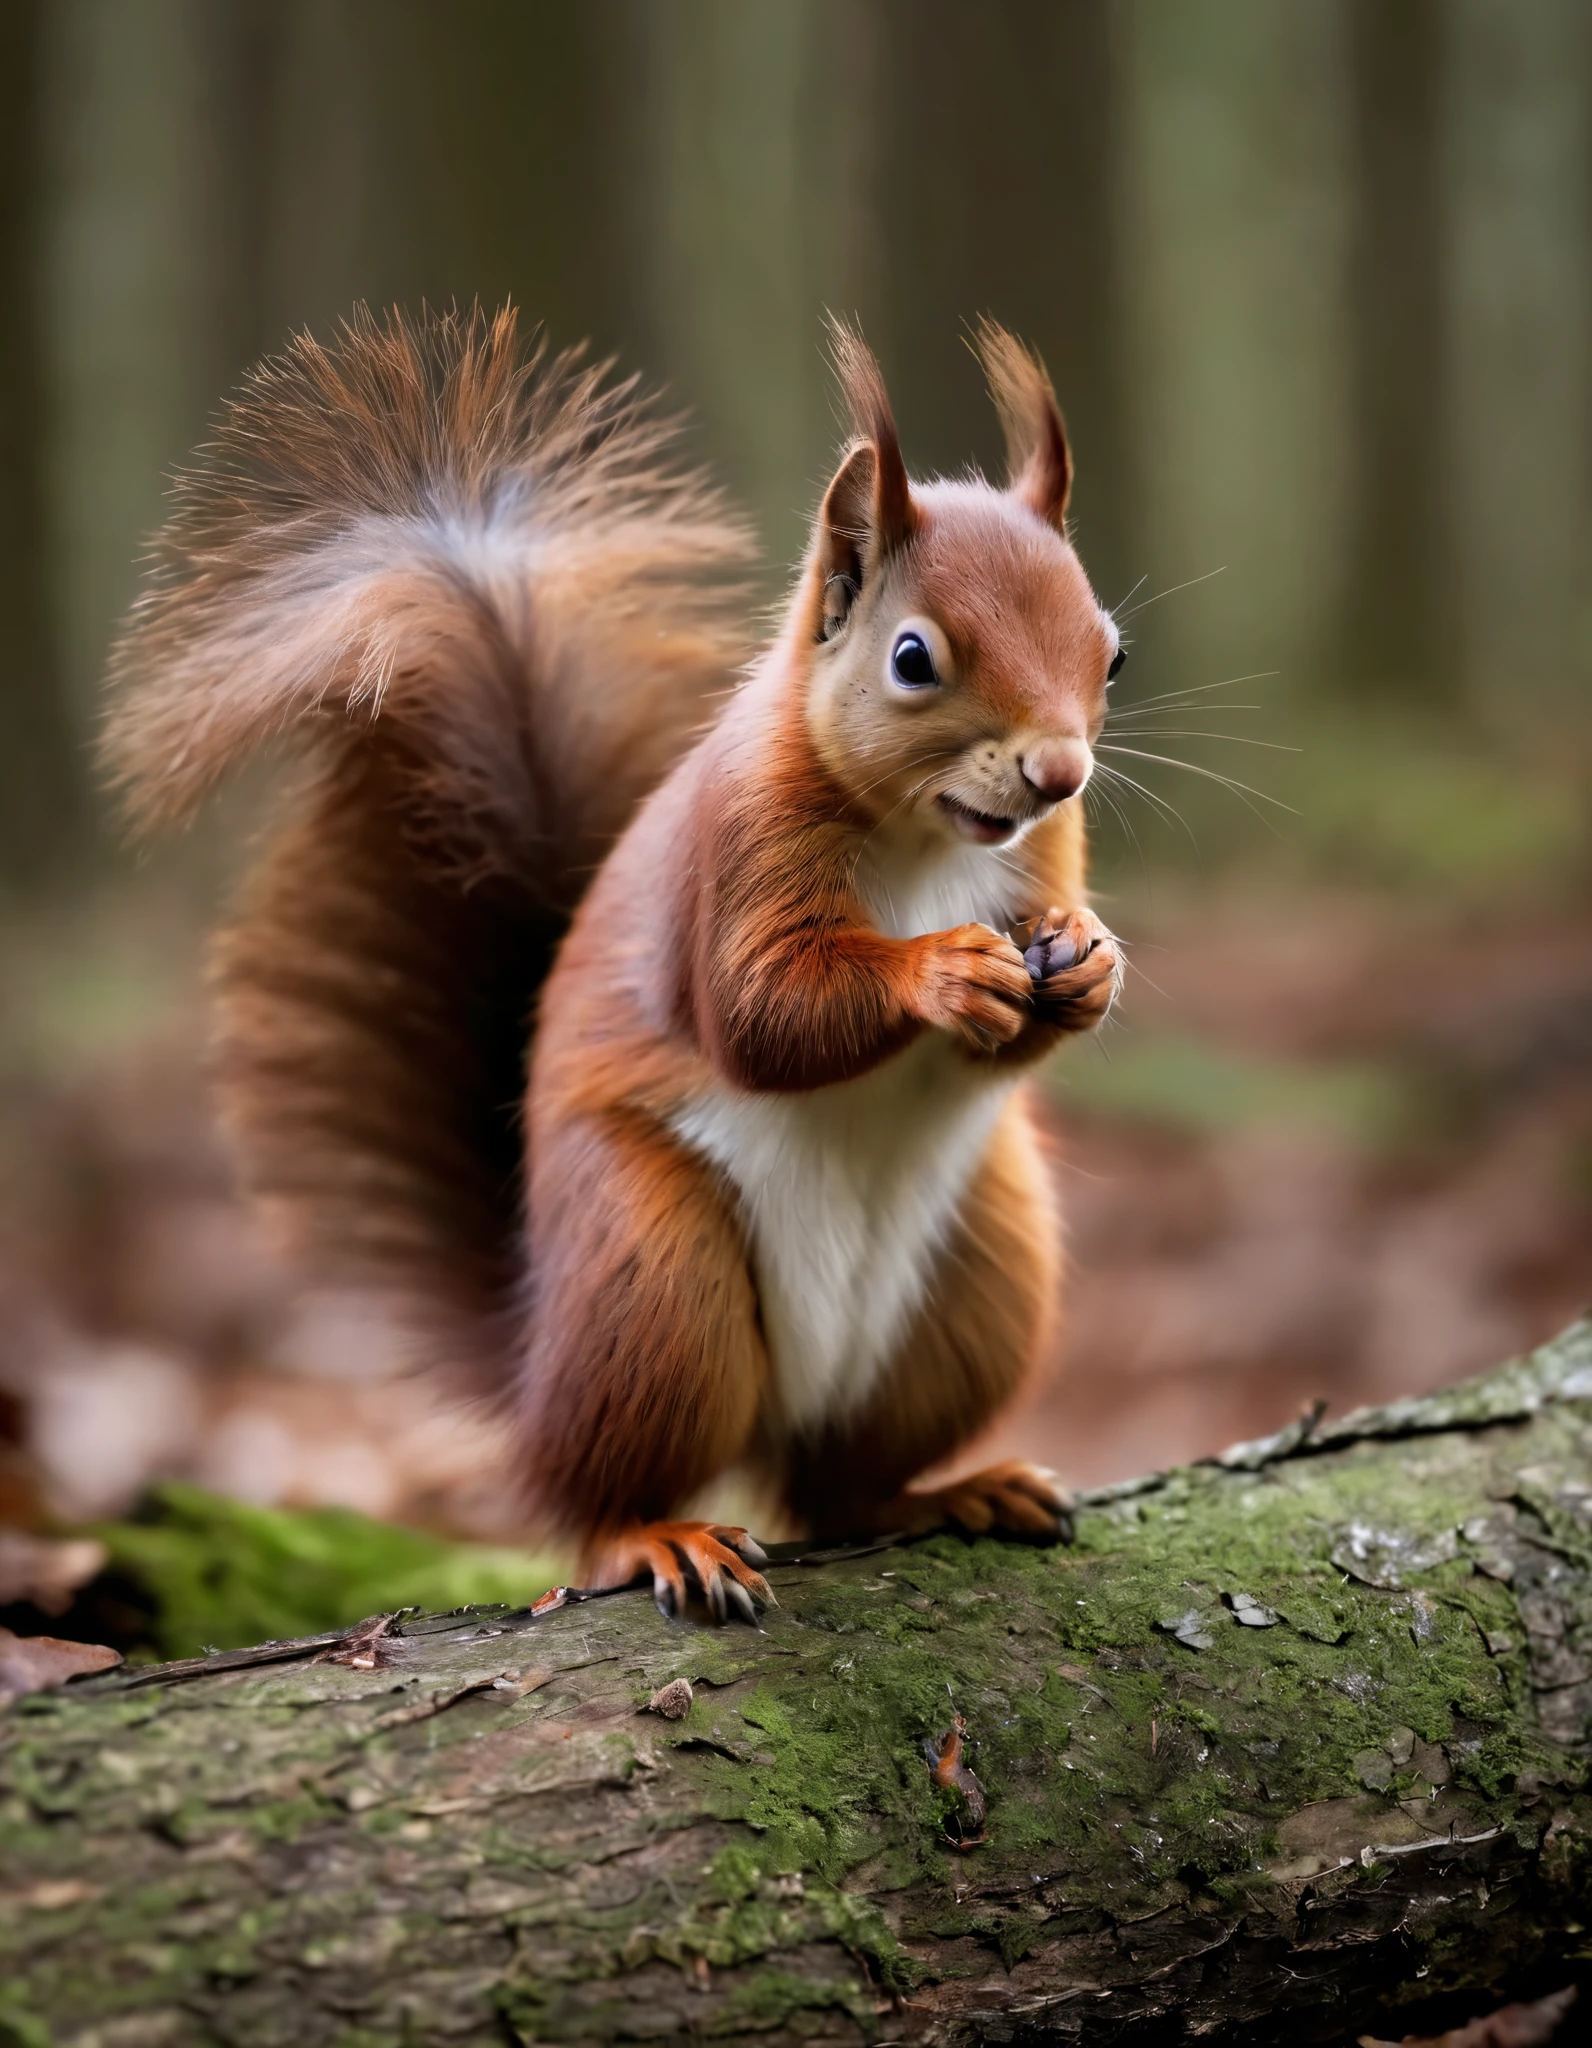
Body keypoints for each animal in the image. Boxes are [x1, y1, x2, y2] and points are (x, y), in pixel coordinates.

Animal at [102, 307, 1114, 1613]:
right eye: (910, 658)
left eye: (1109, 653)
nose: (1059, 771)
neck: (928, 837)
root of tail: (537, 1373)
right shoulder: (735, 851)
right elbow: (759, 1013)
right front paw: (938, 970)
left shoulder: (1042, 862)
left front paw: (1088, 965)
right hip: (653, 1276)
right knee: (598, 1502)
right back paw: (659, 1535)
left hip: (977, 1278)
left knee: (841, 1487)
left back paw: (950, 1489)